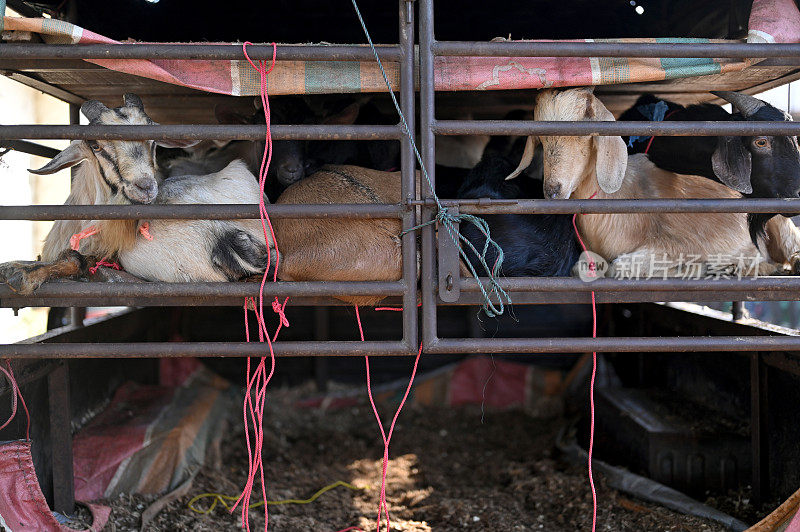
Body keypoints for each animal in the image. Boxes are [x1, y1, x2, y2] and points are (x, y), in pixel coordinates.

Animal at [0, 93, 276, 294]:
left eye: (153, 141)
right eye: (95, 145)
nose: (146, 187)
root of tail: (223, 233)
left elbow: (77, 259)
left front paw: (20, 274)